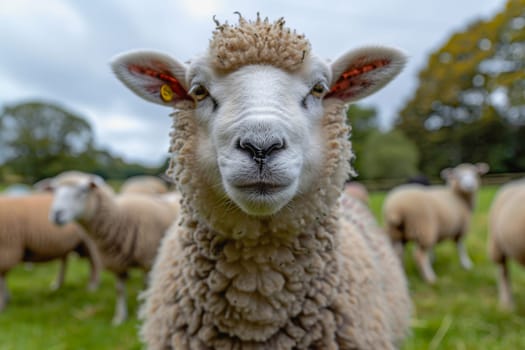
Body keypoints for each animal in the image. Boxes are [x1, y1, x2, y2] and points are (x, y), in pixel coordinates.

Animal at [47, 171, 178, 324]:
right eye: (55, 192)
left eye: (83, 191)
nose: (56, 215)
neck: (121, 219)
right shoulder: (117, 263)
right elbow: (119, 290)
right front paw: (120, 317)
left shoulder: (147, 261)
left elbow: (145, 288)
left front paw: (142, 311)